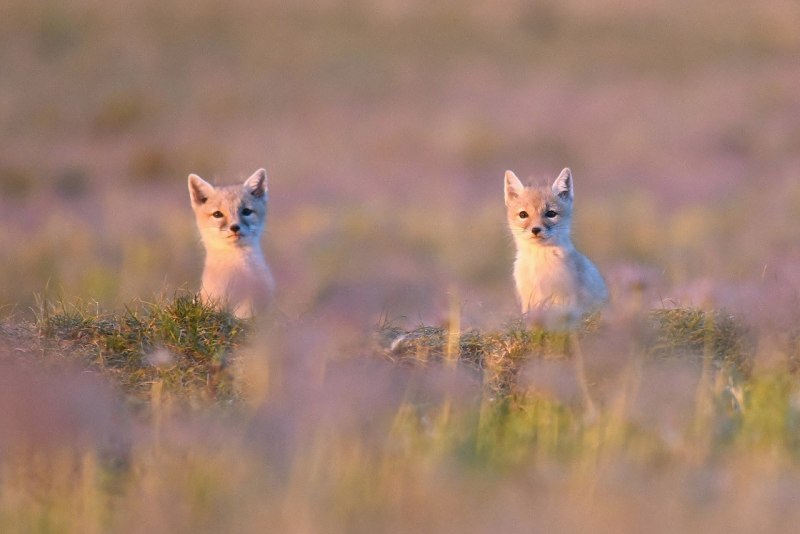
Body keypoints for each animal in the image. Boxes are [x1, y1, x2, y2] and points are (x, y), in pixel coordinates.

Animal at [504, 167, 608, 321]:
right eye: (523, 214)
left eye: (551, 213)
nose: (536, 229)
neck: (539, 263)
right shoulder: (528, 300)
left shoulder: (565, 300)